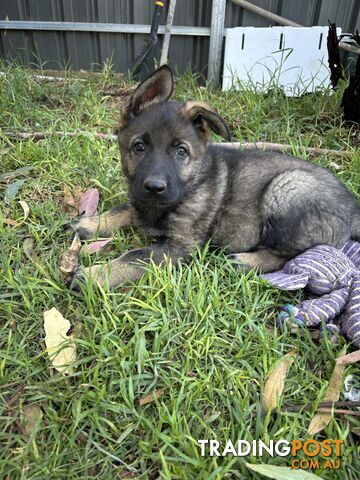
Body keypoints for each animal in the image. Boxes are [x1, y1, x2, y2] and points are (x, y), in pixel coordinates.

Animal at [68, 64, 360, 288]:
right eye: (139, 147)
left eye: (181, 152)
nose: (154, 187)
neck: (190, 186)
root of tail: (352, 207)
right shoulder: (140, 199)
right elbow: (122, 209)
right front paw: (90, 224)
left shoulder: (181, 246)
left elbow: (135, 255)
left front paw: (94, 275)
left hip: (288, 187)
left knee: (291, 255)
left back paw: (246, 261)